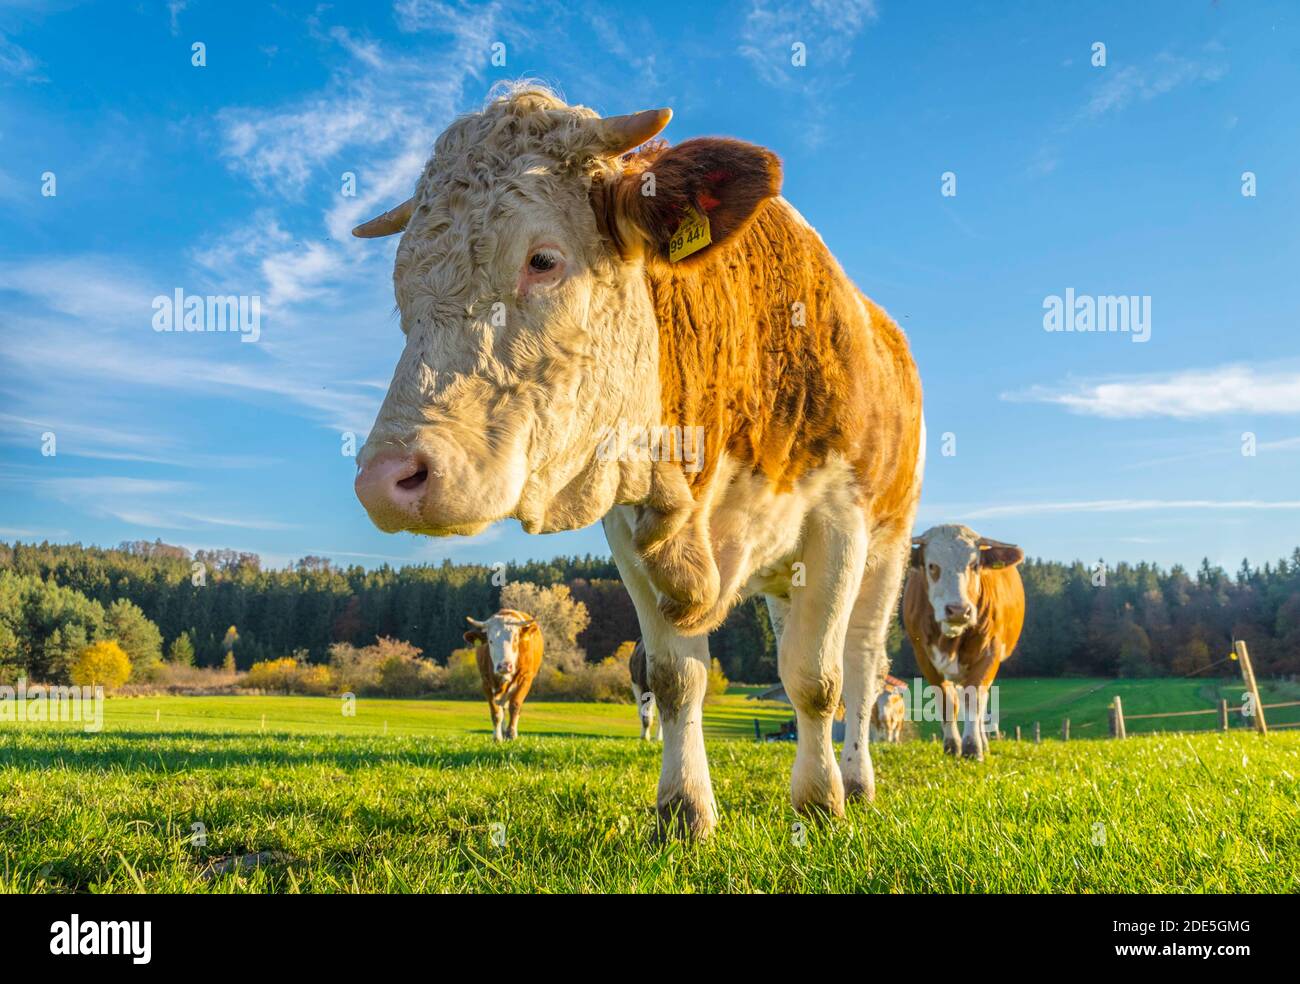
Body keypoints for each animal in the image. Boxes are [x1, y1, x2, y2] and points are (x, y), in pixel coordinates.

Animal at [462, 609, 544, 741]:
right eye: (490, 641)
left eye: (515, 639)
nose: (505, 666)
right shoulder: (486, 682)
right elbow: (496, 712)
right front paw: (497, 738)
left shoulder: (526, 679)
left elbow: (515, 705)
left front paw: (511, 734)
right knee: (502, 707)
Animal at [902, 524, 1025, 761]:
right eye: (932, 566)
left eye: (974, 565)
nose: (958, 610)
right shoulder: (923, 655)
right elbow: (946, 702)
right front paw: (952, 745)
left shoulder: (989, 652)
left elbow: (974, 700)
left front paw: (973, 747)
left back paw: (983, 741)